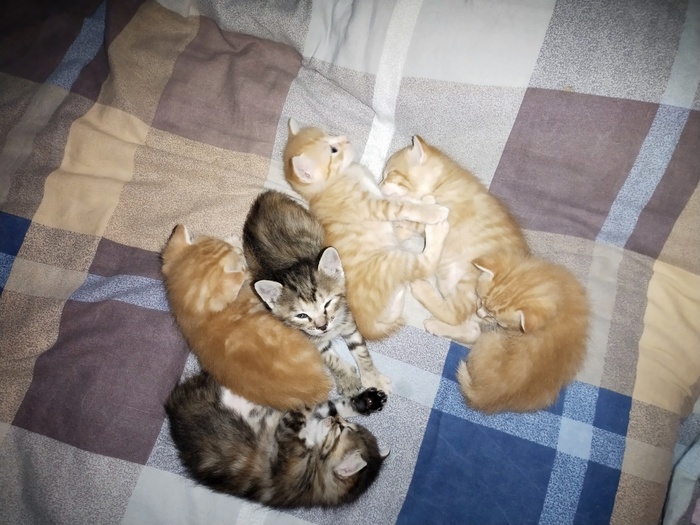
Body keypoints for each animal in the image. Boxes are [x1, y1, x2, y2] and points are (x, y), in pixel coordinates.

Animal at [165, 370, 389, 508]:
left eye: (342, 429)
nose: (338, 421)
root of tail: (171, 406)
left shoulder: (289, 442)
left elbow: (306, 409)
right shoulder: (310, 420)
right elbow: (331, 406)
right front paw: (367, 401)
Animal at [243, 189, 391, 395]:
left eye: (327, 303)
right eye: (302, 315)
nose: (322, 326)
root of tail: (263, 198)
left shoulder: (347, 318)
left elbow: (360, 350)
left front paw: (372, 377)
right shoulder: (310, 337)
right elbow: (329, 357)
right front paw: (347, 379)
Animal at [283, 119, 451, 341]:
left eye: (331, 134)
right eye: (333, 150)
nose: (345, 139)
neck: (336, 180)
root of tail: (364, 322)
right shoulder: (375, 206)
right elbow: (403, 206)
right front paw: (432, 211)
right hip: (394, 260)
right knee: (426, 263)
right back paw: (438, 229)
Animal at [381, 135, 529, 344]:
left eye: (390, 174)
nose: (380, 184)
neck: (443, 182)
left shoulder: (444, 214)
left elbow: (413, 217)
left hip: (470, 279)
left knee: (455, 314)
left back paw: (423, 289)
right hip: (477, 305)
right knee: (472, 330)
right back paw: (437, 326)